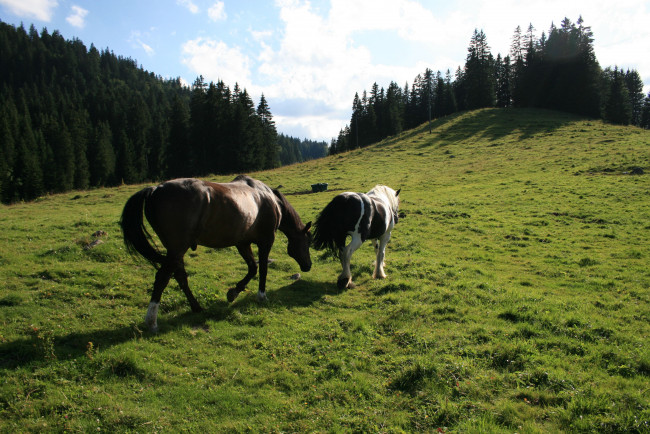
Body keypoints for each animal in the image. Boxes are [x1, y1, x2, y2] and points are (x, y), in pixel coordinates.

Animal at [119, 175, 312, 330]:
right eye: (308, 242)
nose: (308, 266)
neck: (268, 199)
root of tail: (155, 189)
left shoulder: (242, 243)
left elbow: (252, 268)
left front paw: (234, 292)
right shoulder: (265, 241)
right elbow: (263, 268)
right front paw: (261, 295)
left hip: (175, 251)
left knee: (180, 277)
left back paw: (196, 307)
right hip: (177, 248)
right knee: (162, 278)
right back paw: (151, 320)